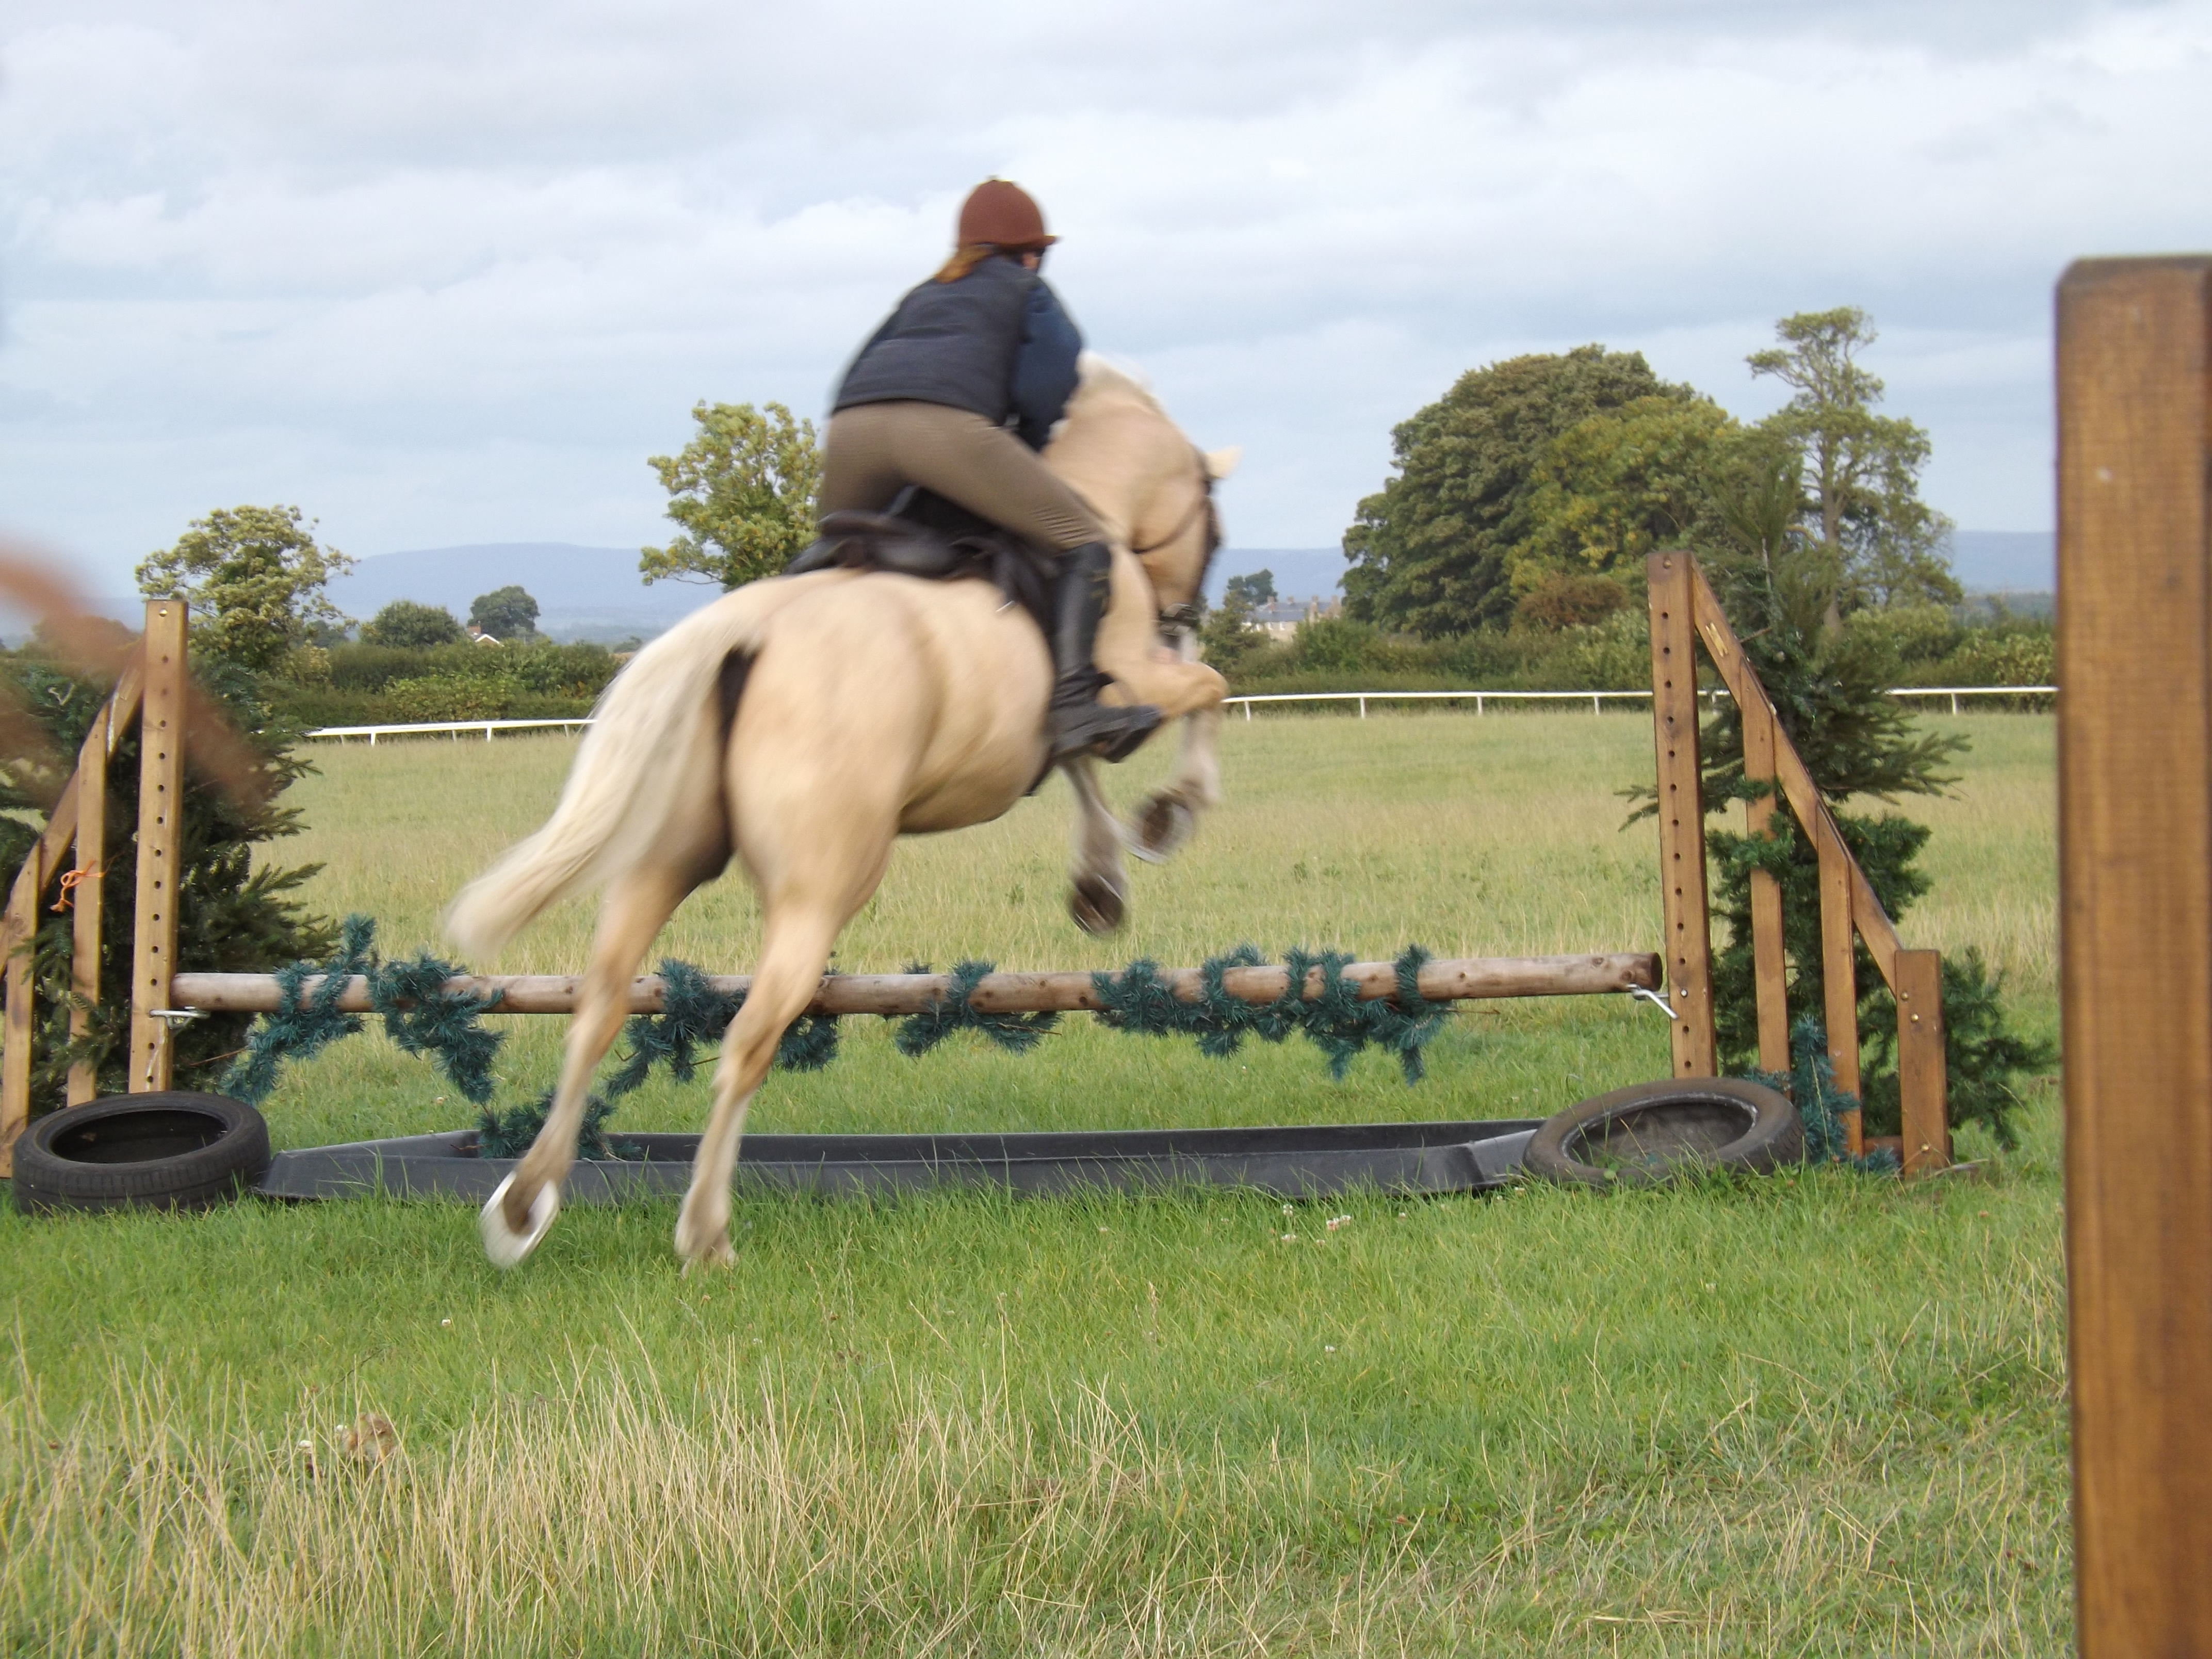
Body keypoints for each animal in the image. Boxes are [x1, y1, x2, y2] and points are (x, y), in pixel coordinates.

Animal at [449, 360, 1239, 1274]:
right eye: (1213, 526)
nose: (1184, 613)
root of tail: (748, 629)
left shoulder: (1059, 728)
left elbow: (1084, 765)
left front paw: (1101, 885)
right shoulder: (1137, 682)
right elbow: (1207, 691)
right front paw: (1169, 818)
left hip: (663, 863)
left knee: (599, 1010)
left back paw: (524, 1206)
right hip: (825, 887)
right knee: (749, 1040)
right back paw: (705, 1233)